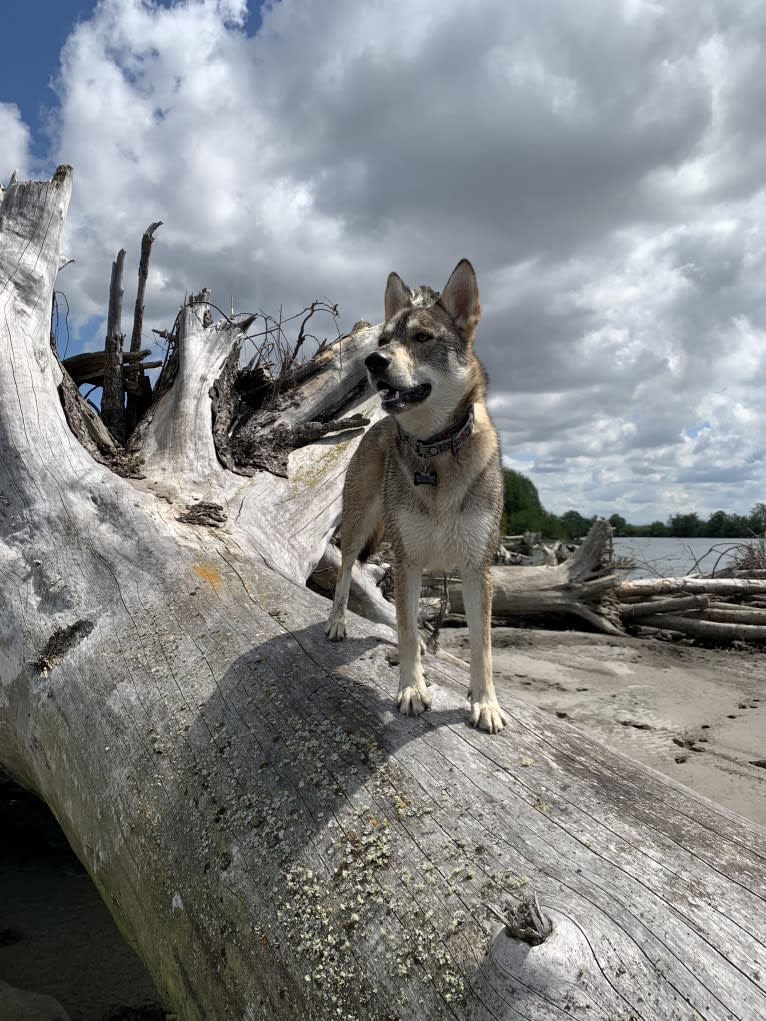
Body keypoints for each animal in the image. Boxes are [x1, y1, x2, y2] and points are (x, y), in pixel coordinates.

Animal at [324, 259, 510, 731]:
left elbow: (482, 646)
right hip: (359, 527)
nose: (373, 361)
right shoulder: (406, 559)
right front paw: (411, 688)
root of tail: (375, 427)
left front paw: (486, 702)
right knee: (346, 574)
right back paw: (337, 623)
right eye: (383, 341)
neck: (435, 449)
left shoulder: (476, 567)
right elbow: (407, 630)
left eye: (423, 337)